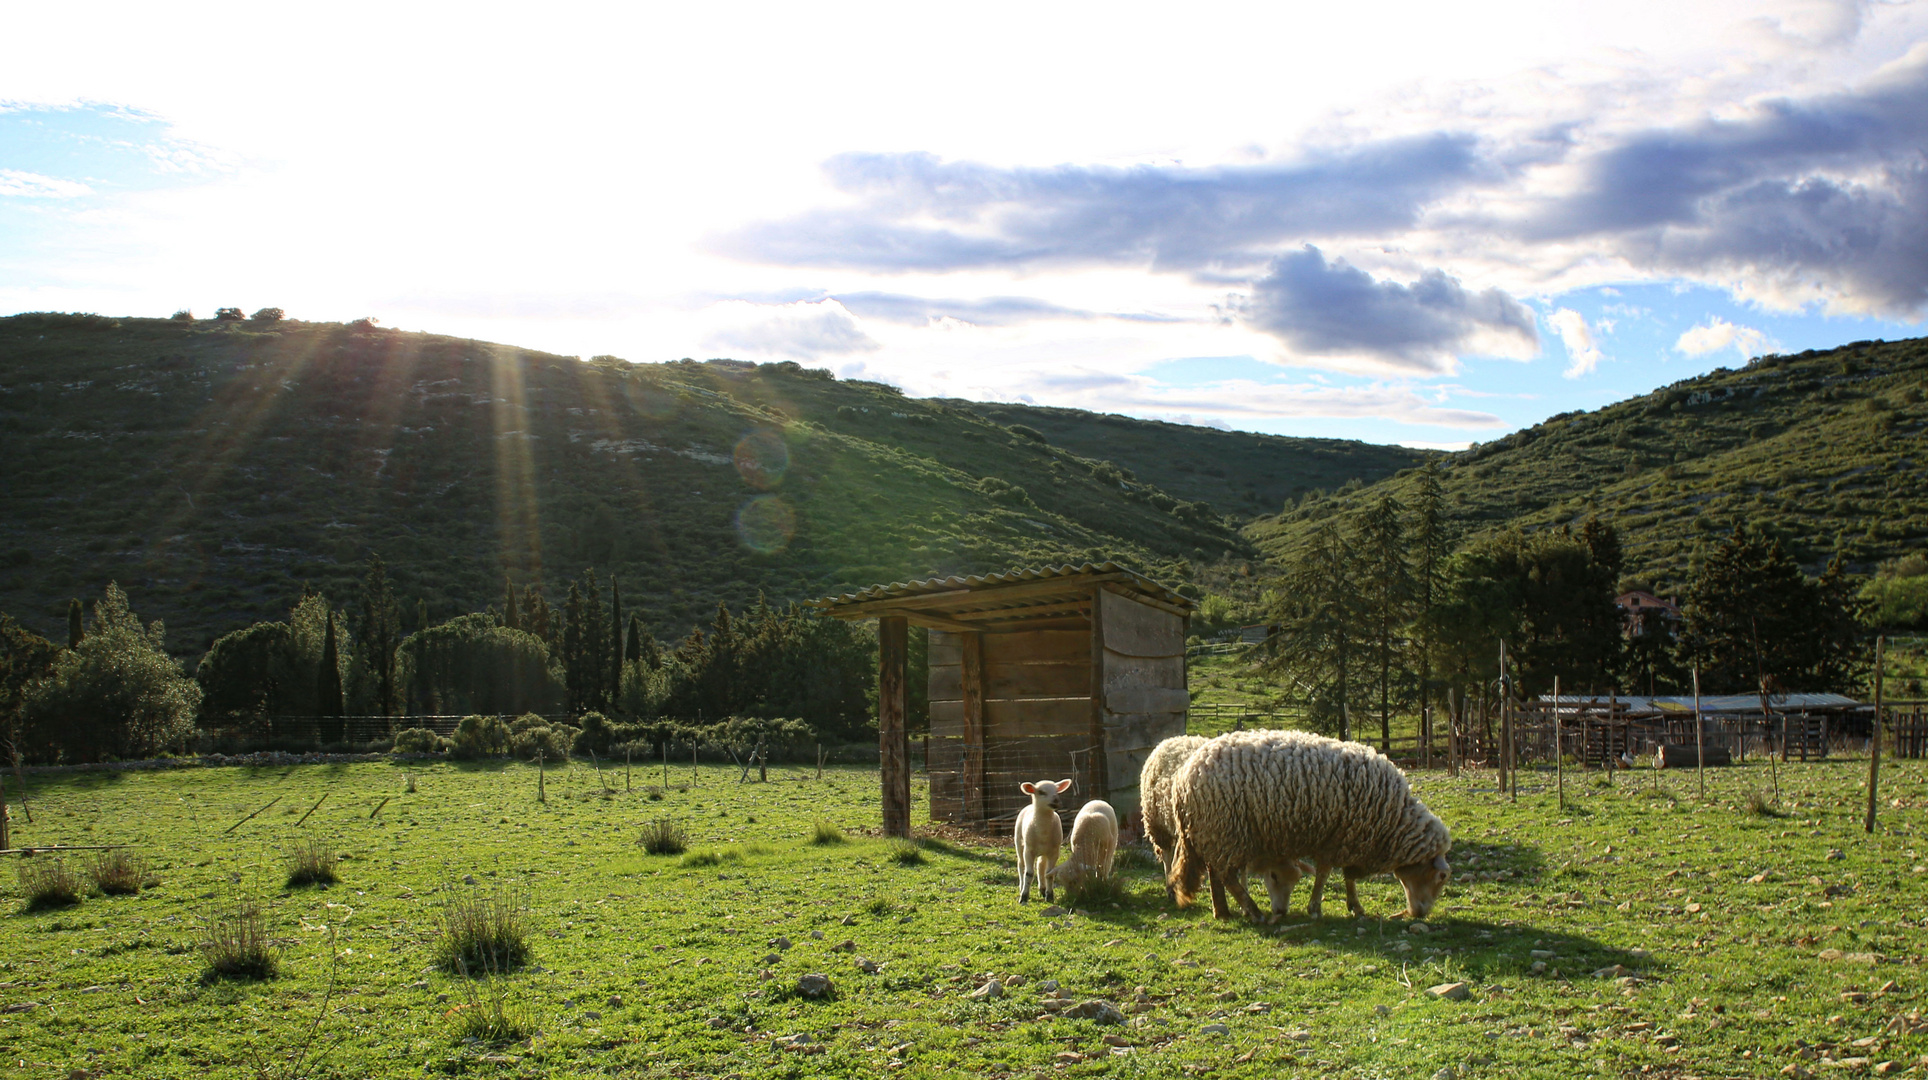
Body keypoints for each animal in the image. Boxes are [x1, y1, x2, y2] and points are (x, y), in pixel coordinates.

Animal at [1156, 725, 1449, 918]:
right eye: (1442, 876)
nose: (1421, 914)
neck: (1391, 817)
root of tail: (1182, 777)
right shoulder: (1337, 837)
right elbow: (1325, 874)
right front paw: (1316, 908)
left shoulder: (1346, 837)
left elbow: (1346, 876)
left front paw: (1354, 905)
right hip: (1224, 830)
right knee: (1226, 875)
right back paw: (1253, 911)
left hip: (1214, 833)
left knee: (1216, 873)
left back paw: (1223, 911)